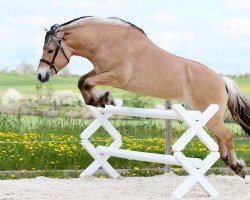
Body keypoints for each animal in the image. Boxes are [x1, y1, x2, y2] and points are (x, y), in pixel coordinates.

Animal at [37, 16, 250, 177]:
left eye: (50, 50)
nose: (41, 75)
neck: (106, 41)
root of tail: (222, 80)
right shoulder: (100, 70)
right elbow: (82, 81)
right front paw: (100, 100)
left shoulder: (117, 76)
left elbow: (87, 82)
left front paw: (102, 99)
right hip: (205, 115)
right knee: (220, 137)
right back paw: (231, 162)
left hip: (211, 115)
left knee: (227, 136)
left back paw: (236, 167)